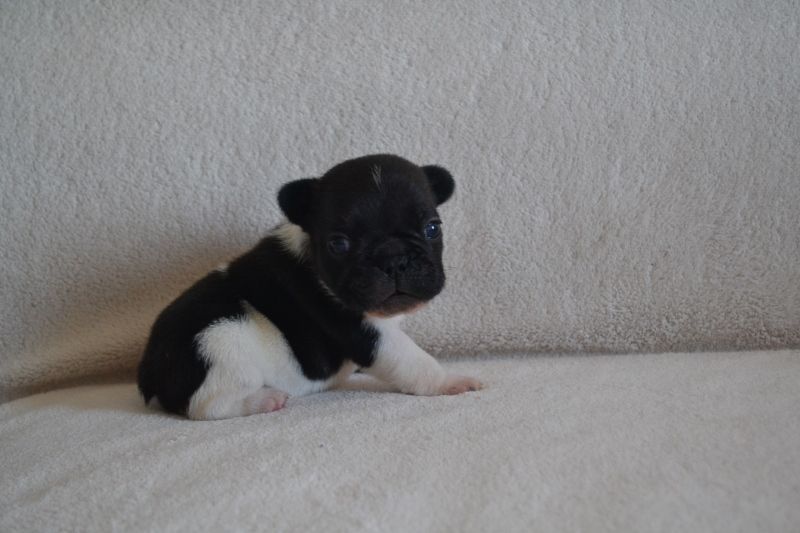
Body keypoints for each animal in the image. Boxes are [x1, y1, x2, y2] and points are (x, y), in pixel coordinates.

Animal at [137, 154, 482, 420]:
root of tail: (149, 365)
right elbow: (412, 359)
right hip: (219, 343)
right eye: (339, 244)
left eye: (432, 228)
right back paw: (262, 399)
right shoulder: (360, 330)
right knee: (207, 405)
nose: (394, 259)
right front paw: (450, 381)